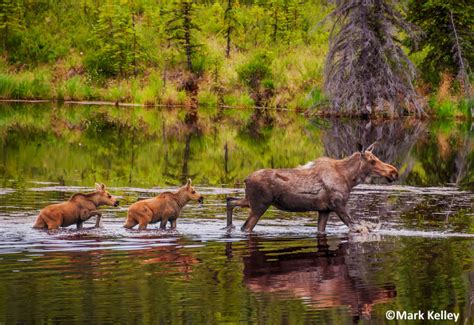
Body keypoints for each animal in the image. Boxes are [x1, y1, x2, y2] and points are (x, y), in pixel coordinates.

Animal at [225, 143, 396, 232]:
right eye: (373, 161)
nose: (393, 172)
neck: (349, 179)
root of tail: (246, 179)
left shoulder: (325, 210)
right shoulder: (338, 205)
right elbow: (357, 227)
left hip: (250, 201)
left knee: (230, 200)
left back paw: (229, 226)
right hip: (259, 205)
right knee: (245, 227)